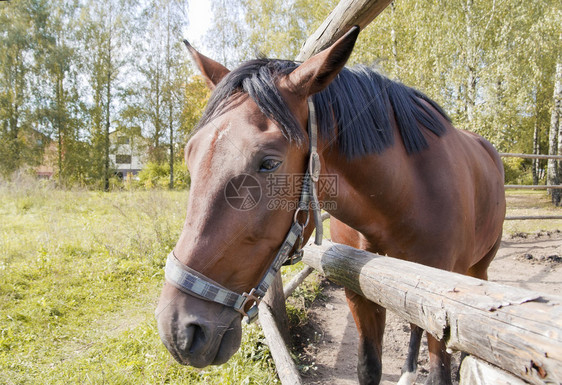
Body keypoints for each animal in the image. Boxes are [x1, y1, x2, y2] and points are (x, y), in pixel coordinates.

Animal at [155, 27, 506, 384]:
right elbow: (369, 366)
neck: (406, 198)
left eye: (269, 163)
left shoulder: (440, 303)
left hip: (478, 268)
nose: (178, 330)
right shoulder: (361, 291)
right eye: (189, 153)